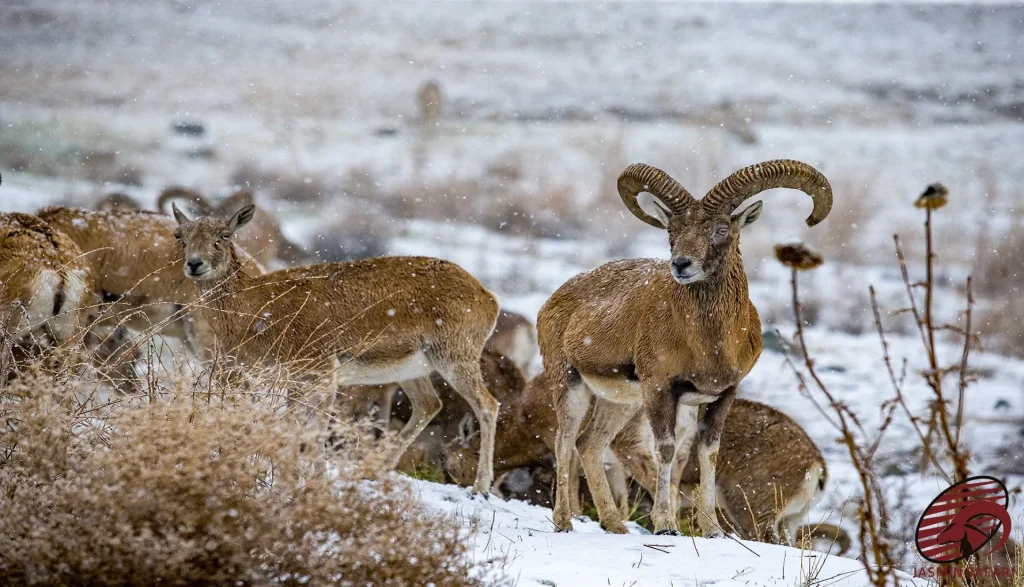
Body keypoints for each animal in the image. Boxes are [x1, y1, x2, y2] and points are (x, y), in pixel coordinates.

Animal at [170, 203, 502, 492]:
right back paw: (374, 470)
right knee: (428, 405)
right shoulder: (294, 381)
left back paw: (480, 486)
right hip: (412, 370)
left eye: (225, 235)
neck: (257, 310)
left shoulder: (323, 373)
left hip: (455, 357)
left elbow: (313, 430)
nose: (195, 263)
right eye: (180, 235)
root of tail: (489, 298)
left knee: (487, 404)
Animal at [537, 160, 832, 535]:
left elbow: (708, 454)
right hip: (569, 382)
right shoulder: (660, 389)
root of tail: (555, 299)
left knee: (588, 445)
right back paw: (564, 522)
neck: (709, 344)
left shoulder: (721, 396)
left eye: (721, 229)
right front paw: (665, 525)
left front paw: (712, 529)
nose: (681, 264)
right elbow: (665, 450)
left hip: (618, 402)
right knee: (565, 441)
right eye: (672, 229)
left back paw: (615, 526)